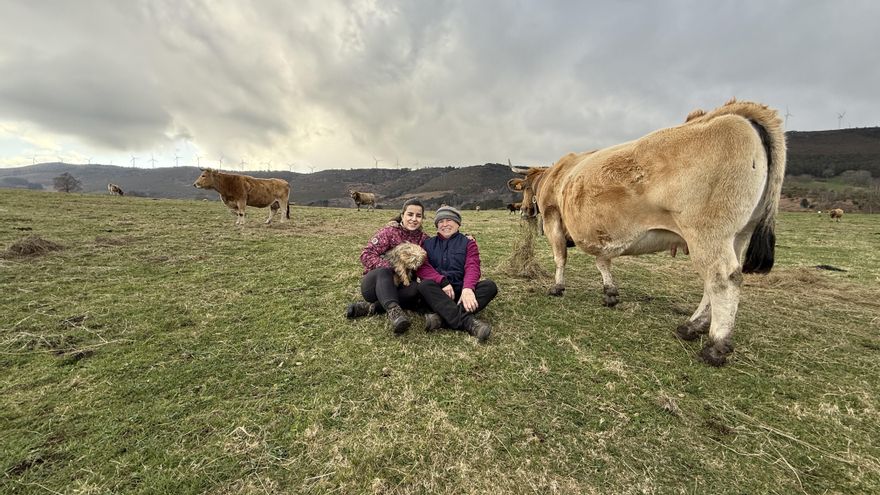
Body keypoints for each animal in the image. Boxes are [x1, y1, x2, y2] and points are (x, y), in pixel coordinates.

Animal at [507, 99, 786, 366]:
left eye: (526, 188)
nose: (524, 211)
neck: (556, 176)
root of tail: (731, 113)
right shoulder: (601, 232)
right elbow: (602, 261)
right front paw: (610, 292)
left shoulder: (553, 217)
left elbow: (560, 257)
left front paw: (557, 287)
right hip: (738, 235)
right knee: (713, 281)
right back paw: (692, 326)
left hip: (707, 234)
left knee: (723, 280)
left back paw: (716, 344)